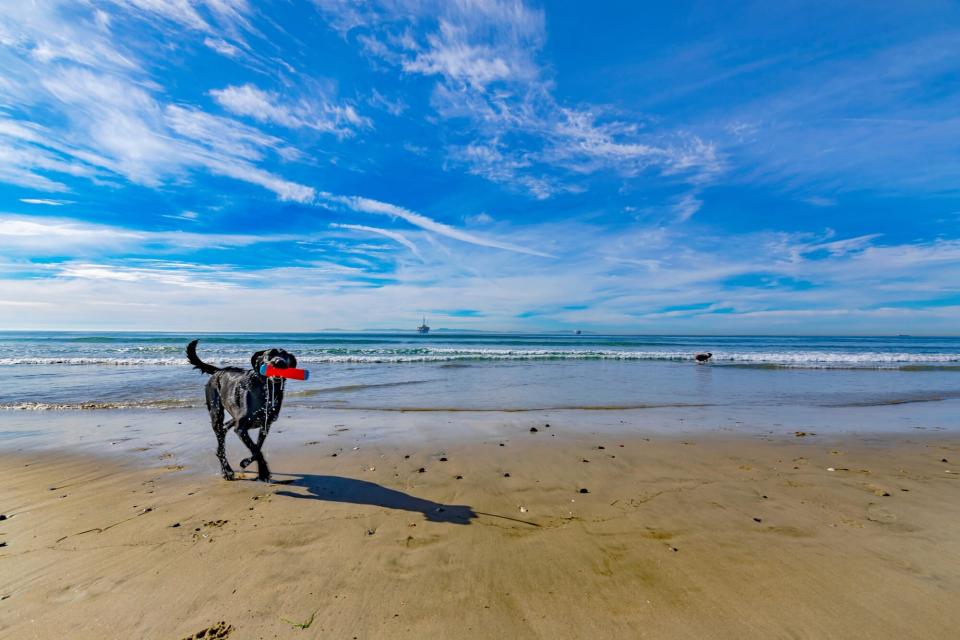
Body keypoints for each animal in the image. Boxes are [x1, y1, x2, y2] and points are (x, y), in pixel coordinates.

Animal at [185, 340, 296, 480]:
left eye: (285, 355)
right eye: (269, 354)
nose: (279, 362)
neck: (265, 389)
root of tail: (219, 371)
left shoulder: (265, 426)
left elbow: (257, 448)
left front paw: (252, 466)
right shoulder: (241, 428)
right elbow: (256, 450)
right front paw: (263, 471)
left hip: (233, 417)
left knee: (223, 432)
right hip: (216, 412)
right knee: (221, 443)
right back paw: (226, 471)